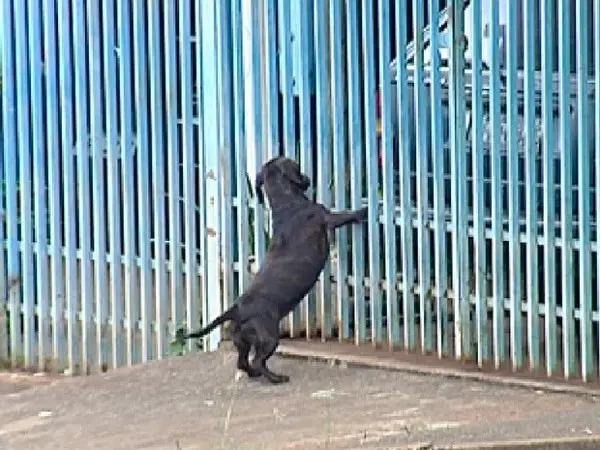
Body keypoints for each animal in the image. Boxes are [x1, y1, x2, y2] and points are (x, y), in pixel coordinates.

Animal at [185, 156, 368, 384]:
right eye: (297, 166)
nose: (307, 177)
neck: (286, 202)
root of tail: (236, 310)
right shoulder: (326, 218)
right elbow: (344, 216)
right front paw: (361, 212)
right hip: (269, 337)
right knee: (257, 360)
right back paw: (275, 378)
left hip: (242, 341)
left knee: (243, 362)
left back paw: (255, 374)